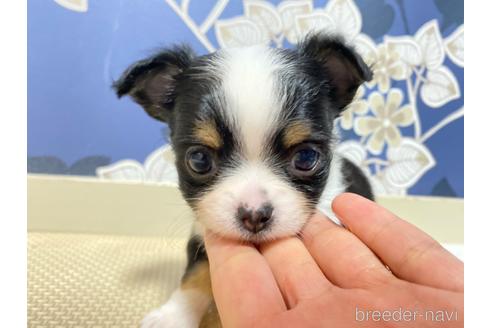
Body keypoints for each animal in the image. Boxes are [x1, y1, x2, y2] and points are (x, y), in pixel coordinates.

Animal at [114, 34, 372, 328]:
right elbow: (194, 274)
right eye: (199, 160)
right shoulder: (201, 231)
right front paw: (173, 316)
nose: (254, 214)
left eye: (306, 157)